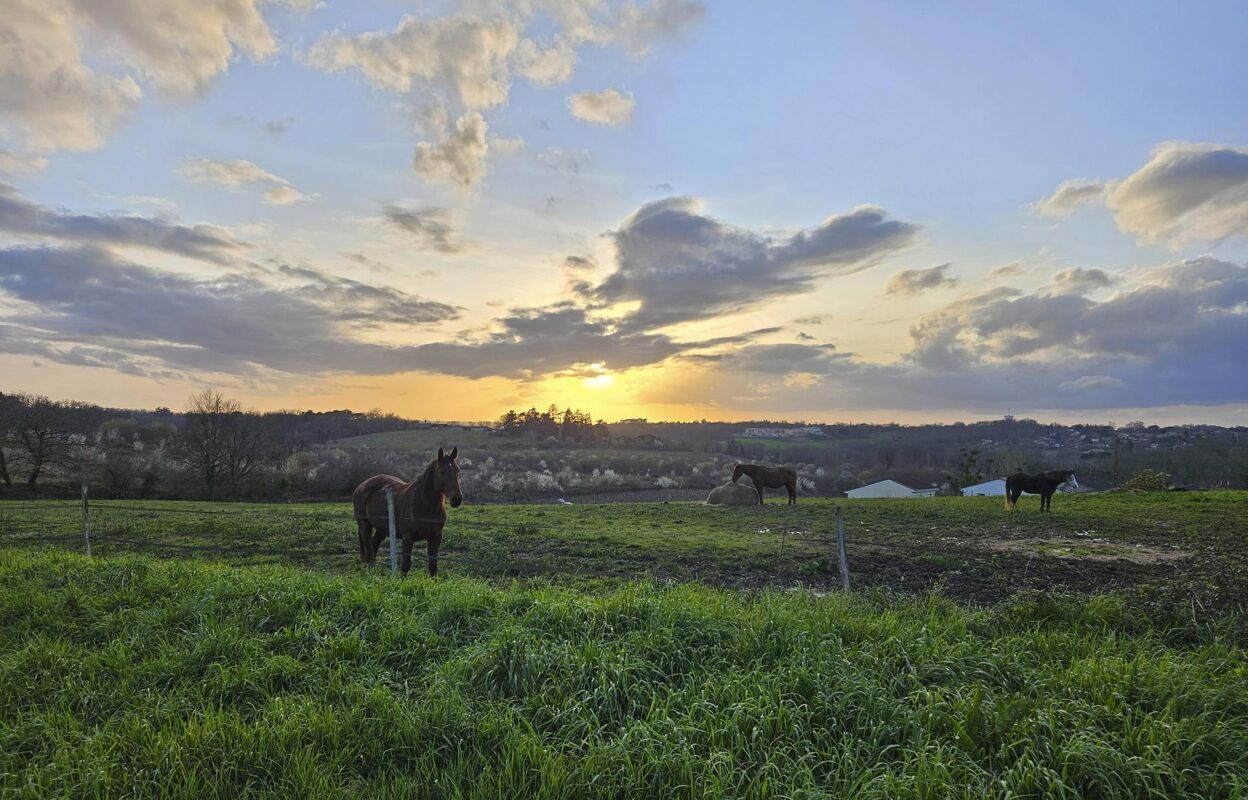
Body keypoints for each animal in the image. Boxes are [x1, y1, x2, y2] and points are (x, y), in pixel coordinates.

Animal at [351, 446, 464, 576]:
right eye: (442, 471)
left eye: (457, 470)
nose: (457, 499)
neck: (425, 505)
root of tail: (361, 486)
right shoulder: (408, 538)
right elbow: (405, 565)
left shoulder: (435, 537)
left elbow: (433, 567)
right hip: (365, 525)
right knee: (369, 551)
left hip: (382, 529)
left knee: (374, 545)